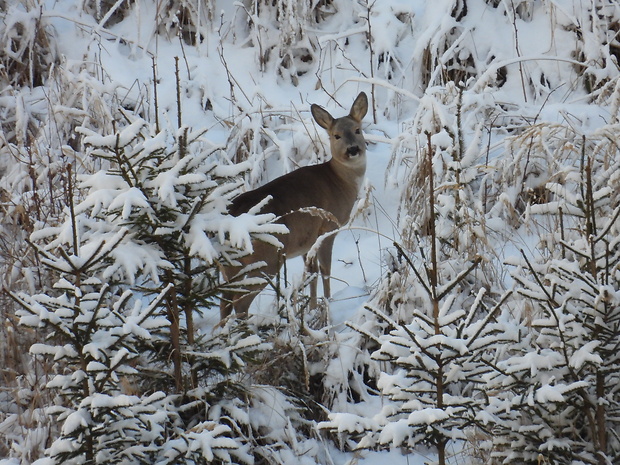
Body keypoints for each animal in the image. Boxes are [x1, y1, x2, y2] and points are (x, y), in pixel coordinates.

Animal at [222, 92, 368, 320]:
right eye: (335, 136)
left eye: (357, 130)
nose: (353, 149)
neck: (340, 181)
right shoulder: (328, 227)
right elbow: (326, 271)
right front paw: (328, 307)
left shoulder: (306, 242)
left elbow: (312, 273)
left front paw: (312, 308)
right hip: (265, 260)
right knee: (240, 302)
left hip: (229, 266)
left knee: (225, 300)